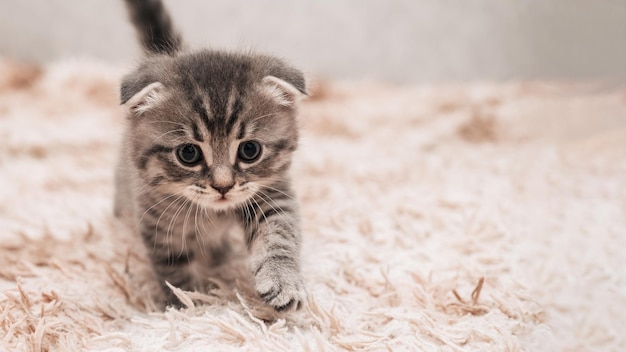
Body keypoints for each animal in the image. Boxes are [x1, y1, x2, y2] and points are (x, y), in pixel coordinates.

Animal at [115, 0, 308, 312]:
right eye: (188, 153)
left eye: (250, 150)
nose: (223, 186)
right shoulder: (158, 222)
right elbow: (174, 269)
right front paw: (188, 304)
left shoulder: (272, 194)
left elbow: (279, 235)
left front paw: (283, 281)